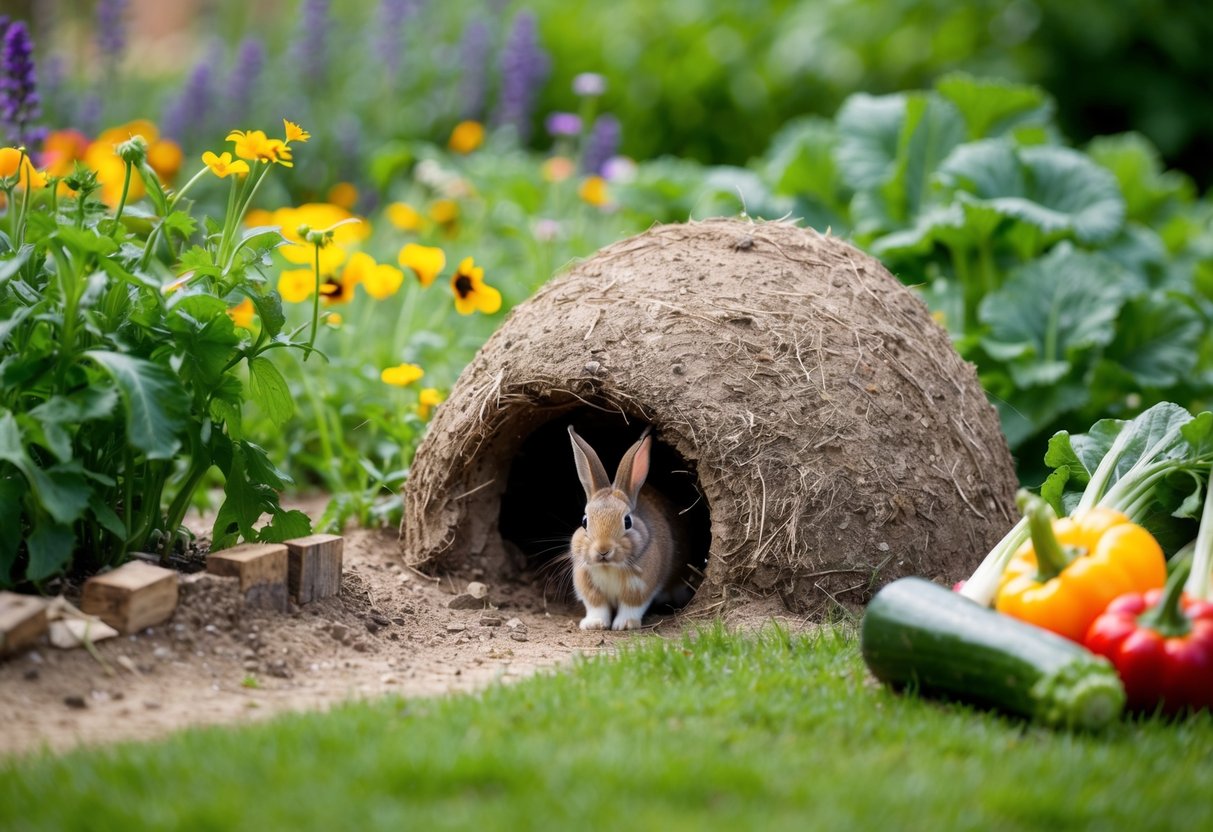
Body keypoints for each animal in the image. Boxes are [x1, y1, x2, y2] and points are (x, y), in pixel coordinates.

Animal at [567, 425, 690, 631]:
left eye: (627, 521)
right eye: (584, 521)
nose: (603, 550)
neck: (609, 567)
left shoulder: (641, 587)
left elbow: (631, 606)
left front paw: (624, 625)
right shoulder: (589, 586)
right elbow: (597, 606)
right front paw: (594, 624)